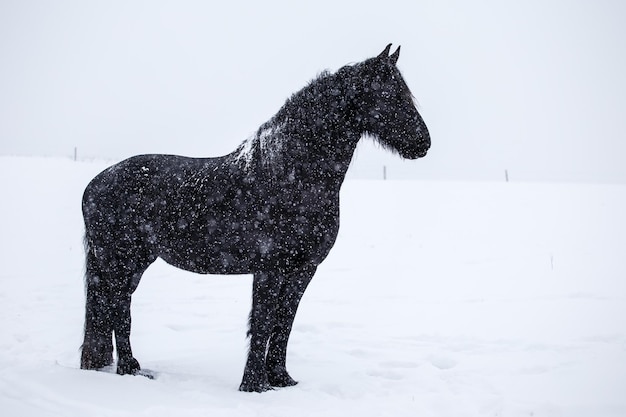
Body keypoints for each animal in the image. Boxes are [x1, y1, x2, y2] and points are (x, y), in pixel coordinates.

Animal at [79, 44, 428, 390]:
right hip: (118, 262)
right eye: (389, 94)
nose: (423, 143)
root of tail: (96, 182)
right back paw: (130, 369)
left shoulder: (302, 269)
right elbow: (263, 322)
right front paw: (253, 385)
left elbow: (284, 322)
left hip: (135, 262)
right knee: (117, 308)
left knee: (112, 308)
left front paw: (281, 379)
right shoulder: (269, 268)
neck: (290, 175)